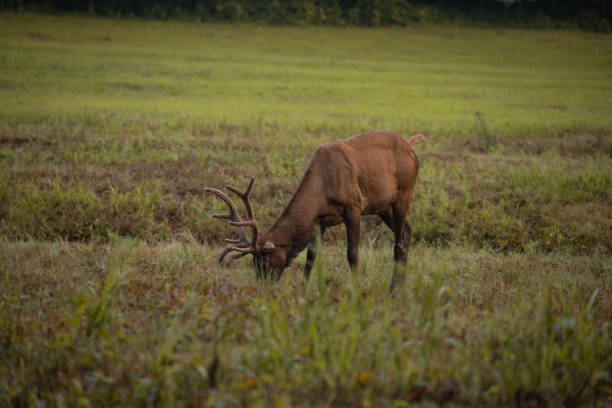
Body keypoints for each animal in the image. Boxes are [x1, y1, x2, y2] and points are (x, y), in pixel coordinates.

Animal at [206, 131, 426, 290]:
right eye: (254, 262)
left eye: (264, 260)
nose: (262, 287)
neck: (322, 191)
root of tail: (411, 146)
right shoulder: (321, 220)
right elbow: (311, 255)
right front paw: (303, 288)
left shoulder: (353, 206)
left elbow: (352, 255)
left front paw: (356, 288)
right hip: (383, 205)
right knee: (407, 230)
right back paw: (401, 283)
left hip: (404, 193)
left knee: (398, 242)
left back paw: (393, 287)